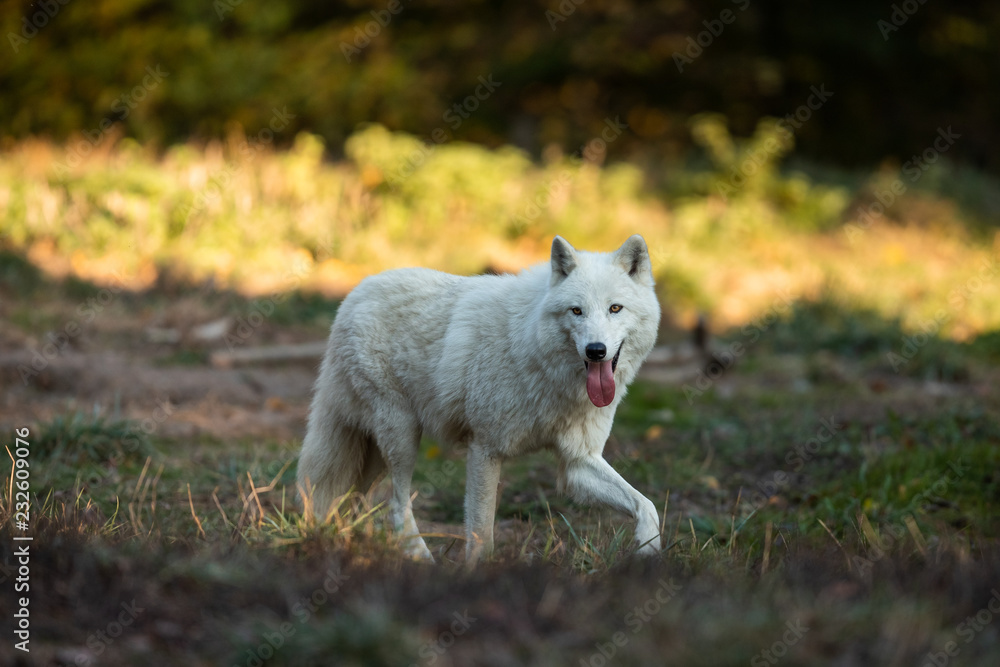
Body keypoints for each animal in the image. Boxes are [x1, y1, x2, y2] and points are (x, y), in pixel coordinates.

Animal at [298, 235, 662, 561]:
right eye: (577, 311)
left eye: (615, 308)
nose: (595, 350)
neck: (533, 353)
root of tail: (353, 296)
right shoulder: (485, 449)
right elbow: (481, 534)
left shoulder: (577, 463)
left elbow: (647, 505)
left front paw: (650, 550)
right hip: (401, 437)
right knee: (397, 505)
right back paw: (420, 559)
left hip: (376, 452)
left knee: (354, 503)